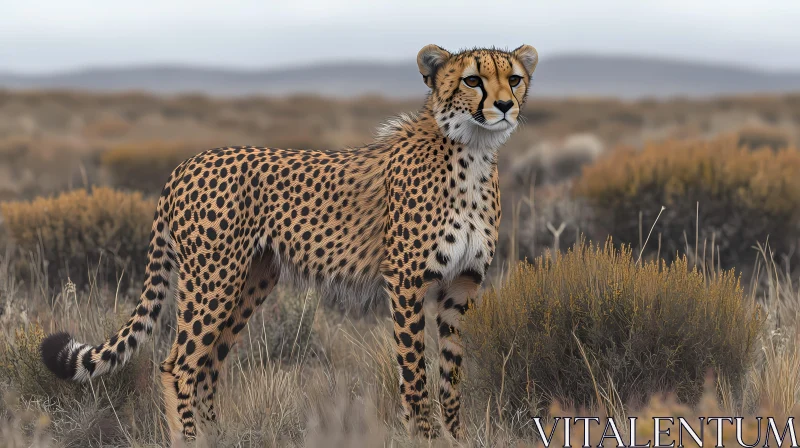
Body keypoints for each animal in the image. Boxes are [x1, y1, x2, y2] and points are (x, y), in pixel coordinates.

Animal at [39, 43, 536, 442]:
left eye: (513, 78)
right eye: (472, 79)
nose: (505, 106)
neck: (472, 151)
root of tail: (187, 163)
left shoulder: (461, 286)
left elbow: (451, 377)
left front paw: (456, 438)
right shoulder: (406, 282)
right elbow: (415, 376)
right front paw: (427, 439)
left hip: (251, 279)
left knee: (209, 365)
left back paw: (220, 438)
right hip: (212, 280)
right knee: (179, 364)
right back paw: (189, 439)